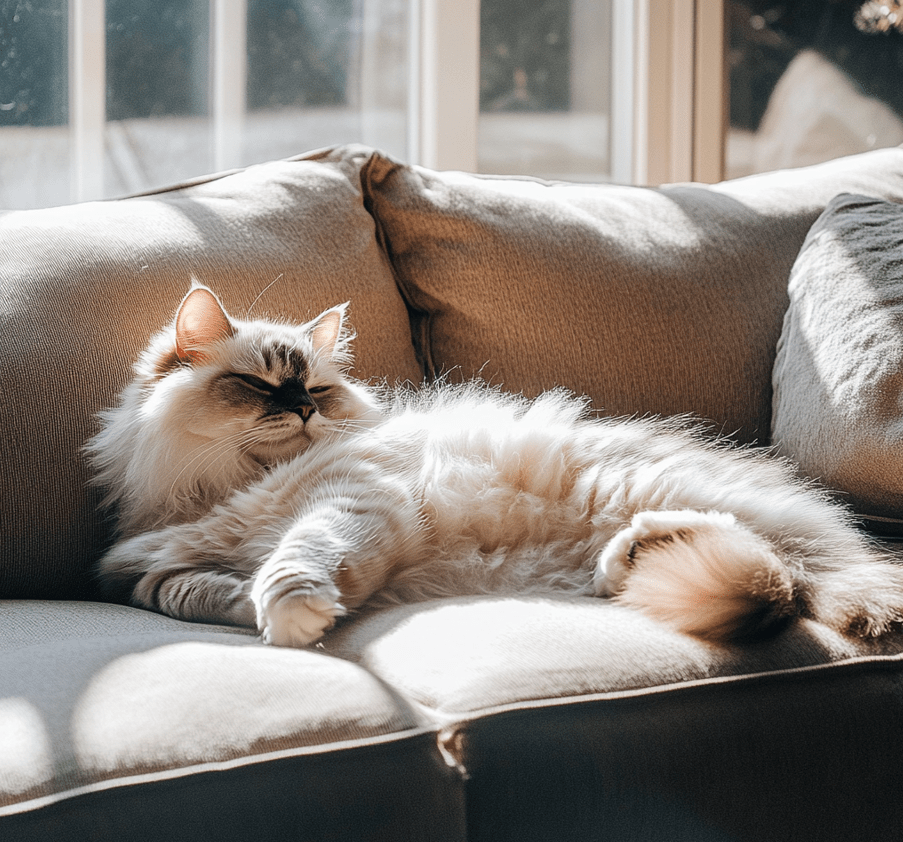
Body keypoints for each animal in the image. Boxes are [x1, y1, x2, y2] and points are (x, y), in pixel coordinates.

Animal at [88, 282, 903, 644]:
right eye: (259, 386)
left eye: (315, 388)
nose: (304, 411)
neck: (230, 491)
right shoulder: (145, 570)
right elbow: (192, 593)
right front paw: (258, 607)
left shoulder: (353, 498)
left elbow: (297, 558)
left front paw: (294, 613)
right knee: (765, 578)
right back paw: (633, 556)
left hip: (646, 487)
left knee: (783, 575)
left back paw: (647, 543)